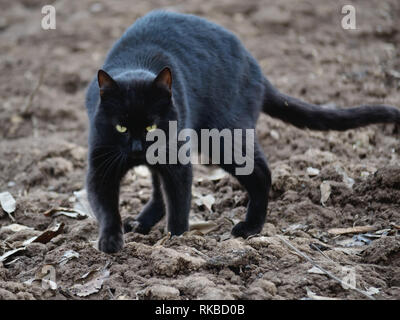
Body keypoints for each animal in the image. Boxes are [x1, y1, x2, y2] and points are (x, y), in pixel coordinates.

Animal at [85, 10, 400, 254]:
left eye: (151, 125)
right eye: (121, 126)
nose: (138, 148)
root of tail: (254, 65)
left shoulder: (176, 158)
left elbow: (179, 201)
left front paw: (175, 241)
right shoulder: (101, 164)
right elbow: (107, 207)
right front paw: (111, 242)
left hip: (223, 137)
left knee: (262, 172)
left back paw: (250, 228)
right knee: (159, 186)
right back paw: (142, 222)